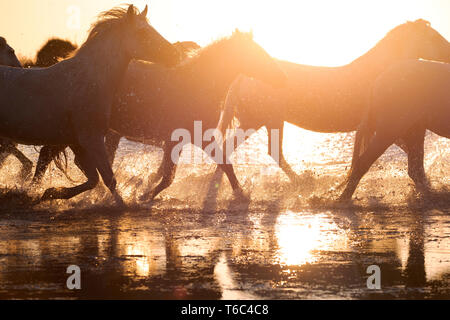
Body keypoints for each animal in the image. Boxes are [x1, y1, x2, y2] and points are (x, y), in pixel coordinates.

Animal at [0, 5, 179, 202]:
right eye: (142, 32)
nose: (176, 55)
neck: (89, 80)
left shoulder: (76, 141)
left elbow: (94, 179)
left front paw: (52, 193)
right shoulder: (91, 138)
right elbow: (109, 179)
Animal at [216, 20, 448, 195]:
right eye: (433, 37)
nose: (448, 51)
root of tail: (242, 77)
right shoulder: (385, 125)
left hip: (263, 120)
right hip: (261, 120)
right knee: (266, 152)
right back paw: (300, 182)